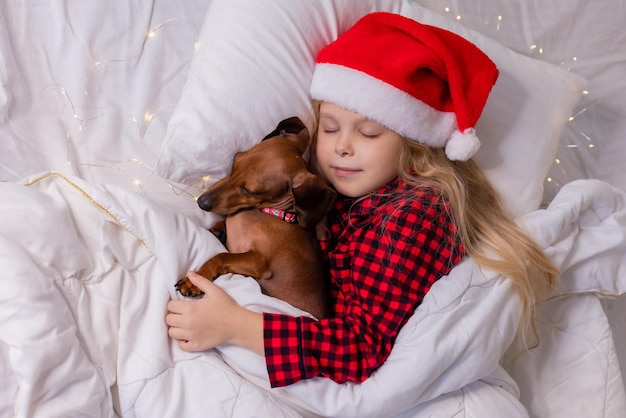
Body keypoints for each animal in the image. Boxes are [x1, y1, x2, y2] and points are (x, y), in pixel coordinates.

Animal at [173, 117, 334, 320]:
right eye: (236, 159)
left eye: (250, 190)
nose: (202, 202)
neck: (270, 213)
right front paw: (218, 230)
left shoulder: (259, 264)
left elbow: (222, 256)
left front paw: (195, 280)